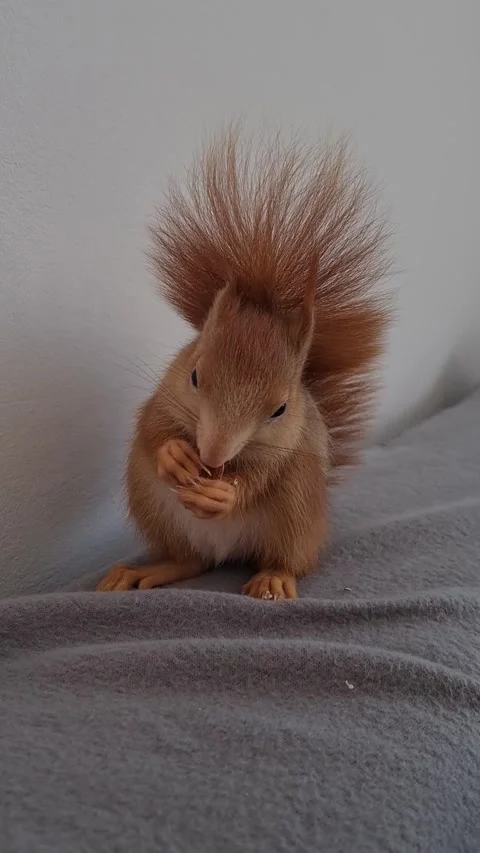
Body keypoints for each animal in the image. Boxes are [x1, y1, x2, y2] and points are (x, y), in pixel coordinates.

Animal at [97, 129, 391, 600]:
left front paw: (227, 493)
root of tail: (227, 550)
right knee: (189, 560)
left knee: (288, 559)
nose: (213, 454)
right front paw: (175, 455)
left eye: (281, 409)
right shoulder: (161, 399)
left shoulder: (289, 444)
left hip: (298, 515)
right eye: (194, 375)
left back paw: (273, 579)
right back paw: (144, 572)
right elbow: (152, 430)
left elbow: (262, 475)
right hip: (152, 504)